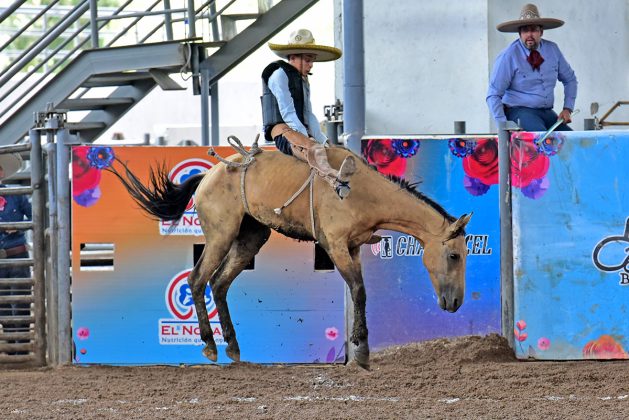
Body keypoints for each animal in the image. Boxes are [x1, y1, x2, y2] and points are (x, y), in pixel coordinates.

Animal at [110, 144, 468, 368]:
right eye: (453, 255)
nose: (455, 303)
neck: (361, 192)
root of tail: (210, 174)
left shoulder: (353, 247)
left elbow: (359, 291)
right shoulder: (336, 244)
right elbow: (359, 291)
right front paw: (363, 353)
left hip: (250, 238)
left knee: (220, 284)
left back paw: (233, 347)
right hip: (220, 236)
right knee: (198, 280)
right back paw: (210, 346)